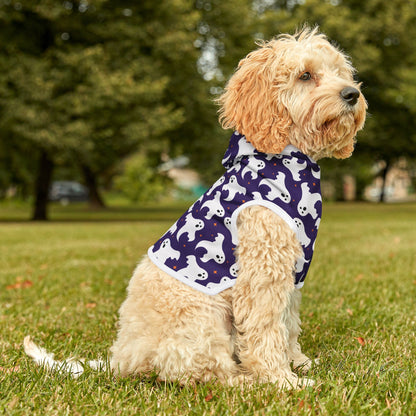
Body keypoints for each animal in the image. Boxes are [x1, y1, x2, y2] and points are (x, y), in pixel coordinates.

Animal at [24, 27, 366, 388]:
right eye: (305, 75)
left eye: (340, 72)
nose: (352, 94)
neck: (288, 160)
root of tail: (122, 359)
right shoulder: (263, 270)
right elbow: (266, 328)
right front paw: (281, 380)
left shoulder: (292, 271)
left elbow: (288, 323)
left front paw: (298, 363)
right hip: (202, 318)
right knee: (200, 371)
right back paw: (244, 380)